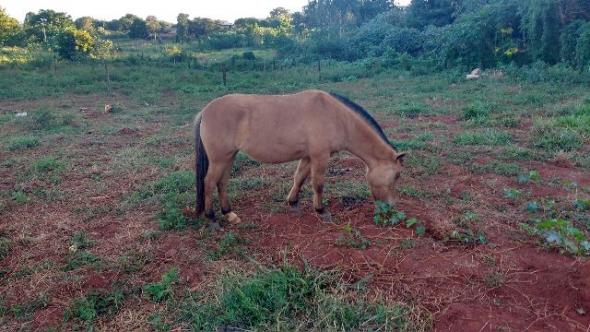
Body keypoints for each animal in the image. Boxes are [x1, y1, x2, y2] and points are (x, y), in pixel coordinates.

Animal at [194, 89, 408, 230]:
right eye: (397, 175)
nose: (391, 207)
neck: (337, 116)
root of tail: (205, 111)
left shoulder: (308, 156)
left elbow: (299, 178)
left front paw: (293, 203)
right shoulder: (320, 157)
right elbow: (318, 184)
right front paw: (321, 211)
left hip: (229, 157)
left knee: (222, 183)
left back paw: (229, 214)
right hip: (219, 159)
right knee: (209, 182)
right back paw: (212, 219)